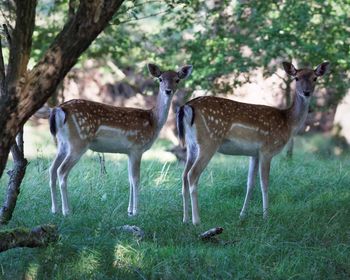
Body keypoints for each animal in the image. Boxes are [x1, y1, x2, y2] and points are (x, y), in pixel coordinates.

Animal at [48, 64, 194, 217]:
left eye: (177, 80)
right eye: (160, 79)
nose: (168, 90)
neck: (153, 121)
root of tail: (59, 109)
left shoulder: (129, 152)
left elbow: (129, 179)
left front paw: (129, 210)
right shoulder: (137, 147)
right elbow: (136, 179)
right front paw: (136, 211)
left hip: (63, 143)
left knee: (52, 170)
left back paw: (54, 209)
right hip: (78, 142)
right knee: (61, 171)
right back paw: (66, 210)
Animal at [176, 61, 330, 225]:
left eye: (315, 78)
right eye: (296, 78)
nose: (306, 92)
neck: (288, 122)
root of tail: (187, 106)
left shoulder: (254, 154)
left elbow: (250, 184)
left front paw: (242, 215)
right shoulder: (267, 150)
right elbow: (265, 183)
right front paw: (266, 216)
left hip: (191, 145)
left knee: (184, 175)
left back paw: (185, 219)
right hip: (209, 141)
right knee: (192, 174)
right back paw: (197, 220)